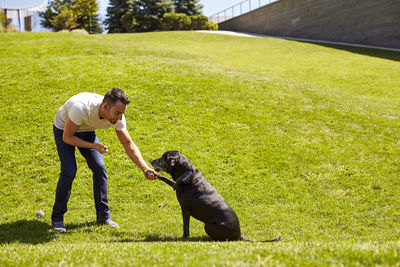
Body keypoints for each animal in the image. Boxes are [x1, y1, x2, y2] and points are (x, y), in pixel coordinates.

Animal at [151, 151, 282, 243]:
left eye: (163, 157)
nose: (151, 161)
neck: (186, 174)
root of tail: (239, 235)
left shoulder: (185, 209)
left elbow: (185, 227)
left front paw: (184, 238)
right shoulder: (176, 184)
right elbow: (166, 179)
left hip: (208, 225)